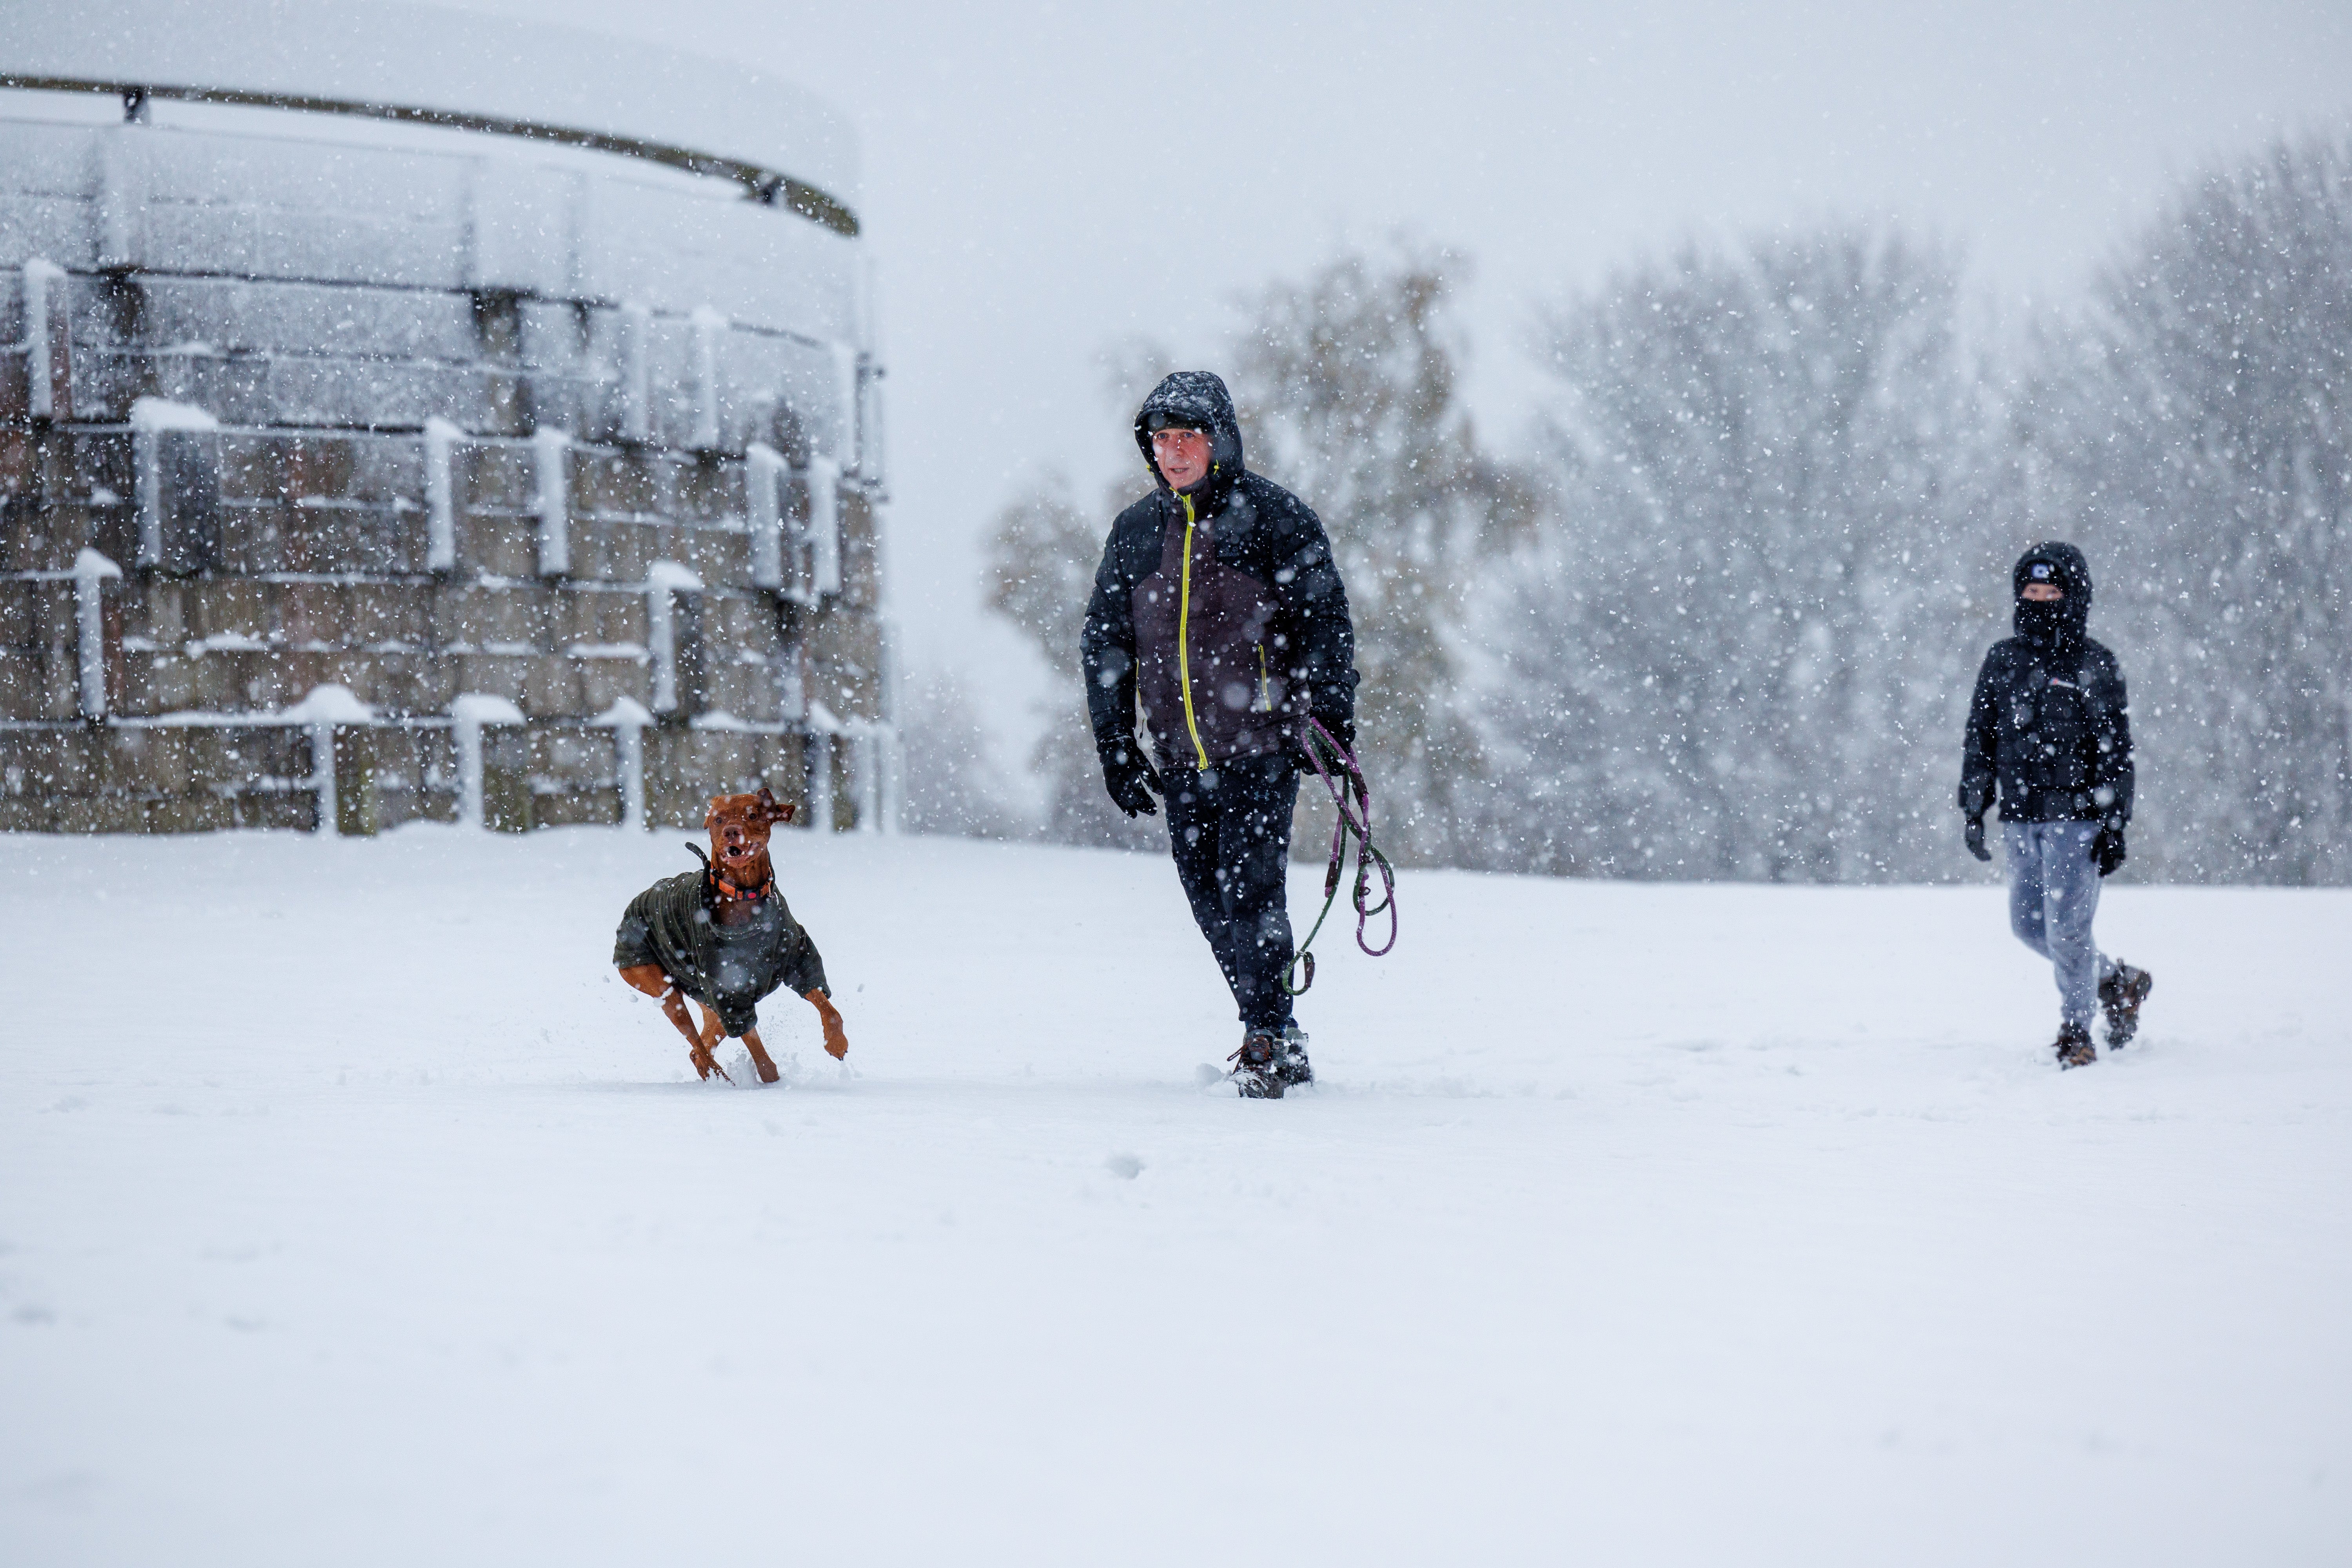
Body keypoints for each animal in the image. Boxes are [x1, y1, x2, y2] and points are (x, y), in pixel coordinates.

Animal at [612, 789, 851, 1086]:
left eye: (753, 815)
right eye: (718, 819)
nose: (731, 831)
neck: (745, 897)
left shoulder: (797, 955)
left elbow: (825, 1004)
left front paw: (836, 1043)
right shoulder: (728, 992)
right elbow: (762, 1059)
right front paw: (772, 1083)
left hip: (703, 998)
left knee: (699, 1049)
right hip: (661, 988)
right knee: (697, 1045)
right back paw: (721, 1079)